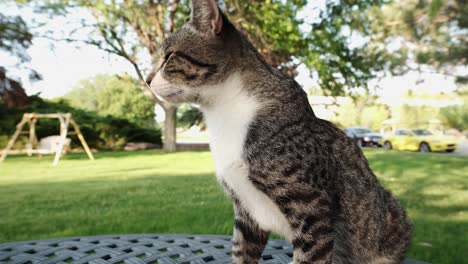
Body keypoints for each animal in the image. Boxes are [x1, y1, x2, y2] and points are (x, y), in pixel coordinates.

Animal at [145, 1, 410, 262]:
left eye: (169, 57)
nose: (146, 79)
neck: (223, 112)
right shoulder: (247, 214)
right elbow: (241, 252)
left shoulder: (312, 209)